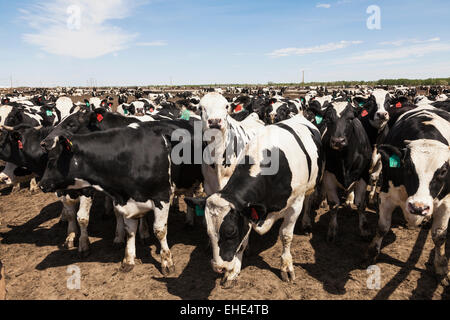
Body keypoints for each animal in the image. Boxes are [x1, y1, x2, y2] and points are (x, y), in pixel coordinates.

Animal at [185, 115, 322, 288]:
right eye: (208, 231)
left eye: (231, 232)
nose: (218, 267)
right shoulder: (248, 213)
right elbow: (243, 242)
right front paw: (233, 272)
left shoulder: (295, 205)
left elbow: (286, 235)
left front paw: (286, 267)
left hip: (312, 185)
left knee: (309, 200)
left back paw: (306, 223)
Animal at [366, 106, 450, 284]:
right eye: (408, 167)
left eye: (443, 171)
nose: (419, 207)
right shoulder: (386, 195)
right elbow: (382, 227)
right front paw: (371, 253)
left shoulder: (447, 202)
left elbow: (439, 236)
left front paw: (441, 268)